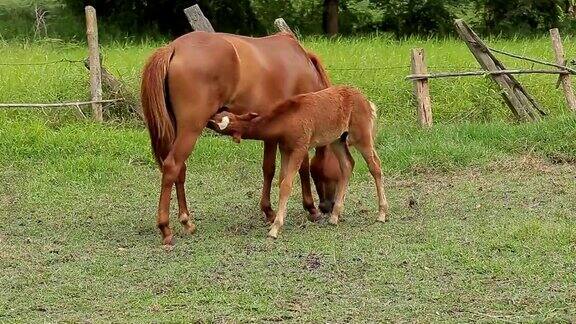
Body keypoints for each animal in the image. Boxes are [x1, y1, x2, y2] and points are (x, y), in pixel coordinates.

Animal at [141, 31, 336, 244]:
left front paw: (268, 211)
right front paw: (310, 208)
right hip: (190, 130)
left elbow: (269, 169)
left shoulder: (272, 133)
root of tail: (173, 47)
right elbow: (303, 167)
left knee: (180, 170)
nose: (328, 206)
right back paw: (165, 228)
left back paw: (187, 221)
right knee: (172, 167)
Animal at [209, 85, 390, 238]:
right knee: (347, 165)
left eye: (221, 124)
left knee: (375, 166)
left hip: (362, 136)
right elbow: (282, 180)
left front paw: (275, 227)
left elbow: (286, 184)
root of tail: (366, 100)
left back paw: (381, 213)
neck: (286, 120)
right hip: (337, 139)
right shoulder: (285, 149)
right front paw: (279, 218)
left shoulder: (299, 149)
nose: (209, 118)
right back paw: (334, 216)